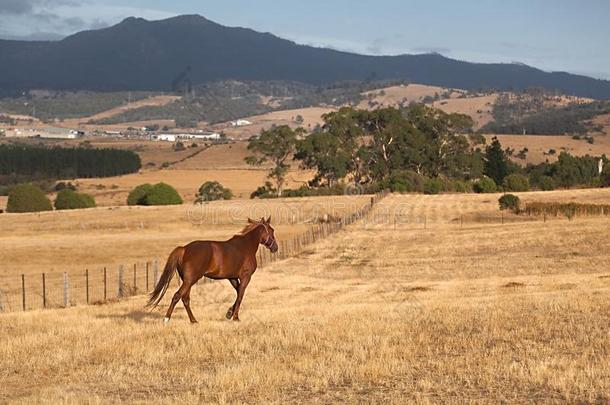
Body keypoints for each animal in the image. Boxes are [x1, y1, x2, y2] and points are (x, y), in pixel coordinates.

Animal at [146, 216, 280, 324]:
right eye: (272, 230)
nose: (275, 248)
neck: (245, 246)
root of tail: (184, 249)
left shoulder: (232, 277)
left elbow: (238, 293)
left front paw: (229, 313)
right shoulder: (245, 277)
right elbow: (240, 295)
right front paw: (235, 317)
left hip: (187, 280)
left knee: (185, 299)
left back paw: (194, 321)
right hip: (190, 280)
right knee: (177, 296)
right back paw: (166, 319)